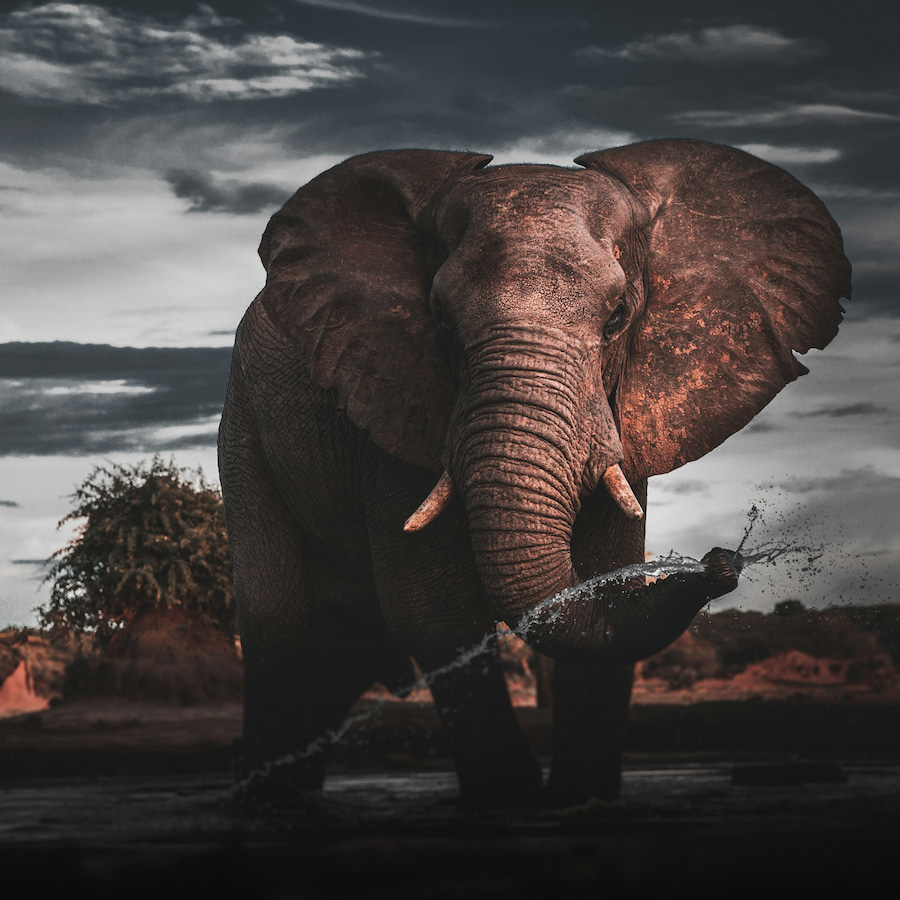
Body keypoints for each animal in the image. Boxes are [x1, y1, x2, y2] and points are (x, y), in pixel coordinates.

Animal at [218, 138, 850, 806]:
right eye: (440, 320)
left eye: (618, 316)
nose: (720, 561)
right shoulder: (393, 403)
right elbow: (435, 614)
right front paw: (513, 803)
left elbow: (603, 586)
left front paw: (580, 800)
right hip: (246, 431)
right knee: (279, 631)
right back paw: (264, 804)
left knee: (342, 655)